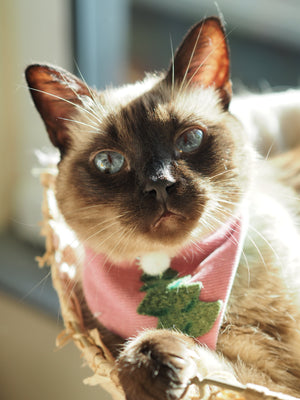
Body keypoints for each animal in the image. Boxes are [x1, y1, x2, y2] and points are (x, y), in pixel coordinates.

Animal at [25, 16, 300, 400]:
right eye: (109, 162)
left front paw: (156, 362)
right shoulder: (267, 375)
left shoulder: (275, 381)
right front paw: (153, 370)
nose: (160, 184)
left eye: (190, 140)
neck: (170, 271)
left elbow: (204, 365)